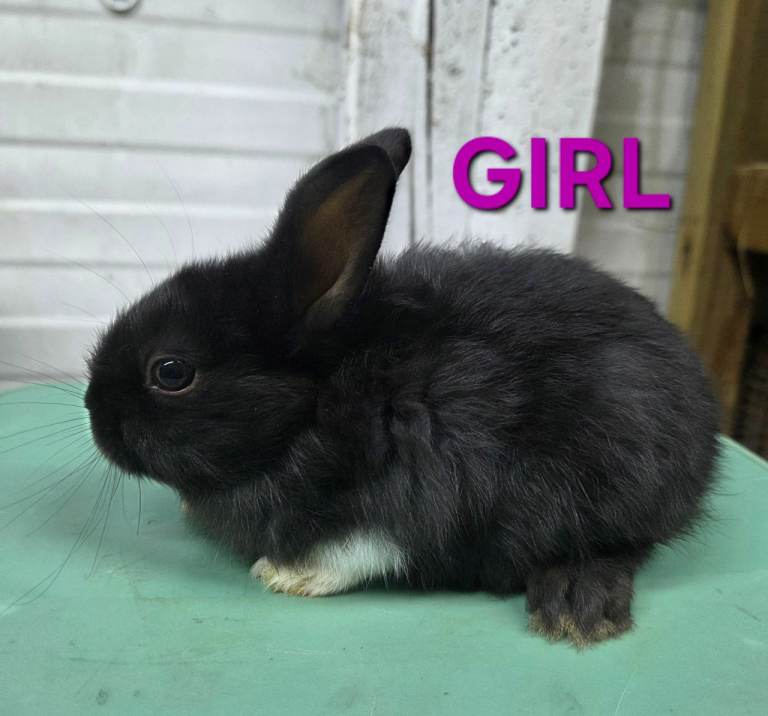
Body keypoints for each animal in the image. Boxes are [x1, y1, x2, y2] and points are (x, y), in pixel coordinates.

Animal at [85, 128, 719, 647]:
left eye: (171, 372)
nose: (95, 415)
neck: (325, 402)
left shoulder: (429, 483)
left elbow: (372, 545)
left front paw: (289, 573)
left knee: (623, 543)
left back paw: (576, 602)